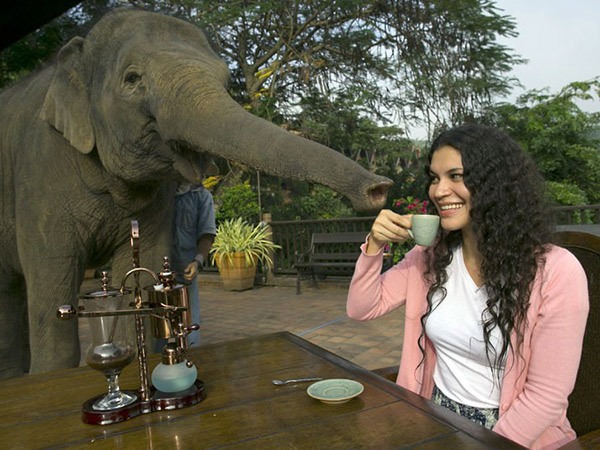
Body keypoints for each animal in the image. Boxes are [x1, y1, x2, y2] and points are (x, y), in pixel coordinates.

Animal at [0, 7, 392, 380]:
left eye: (225, 79)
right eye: (132, 79)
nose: (379, 188)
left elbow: (140, 273)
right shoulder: (39, 171)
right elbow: (54, 279)